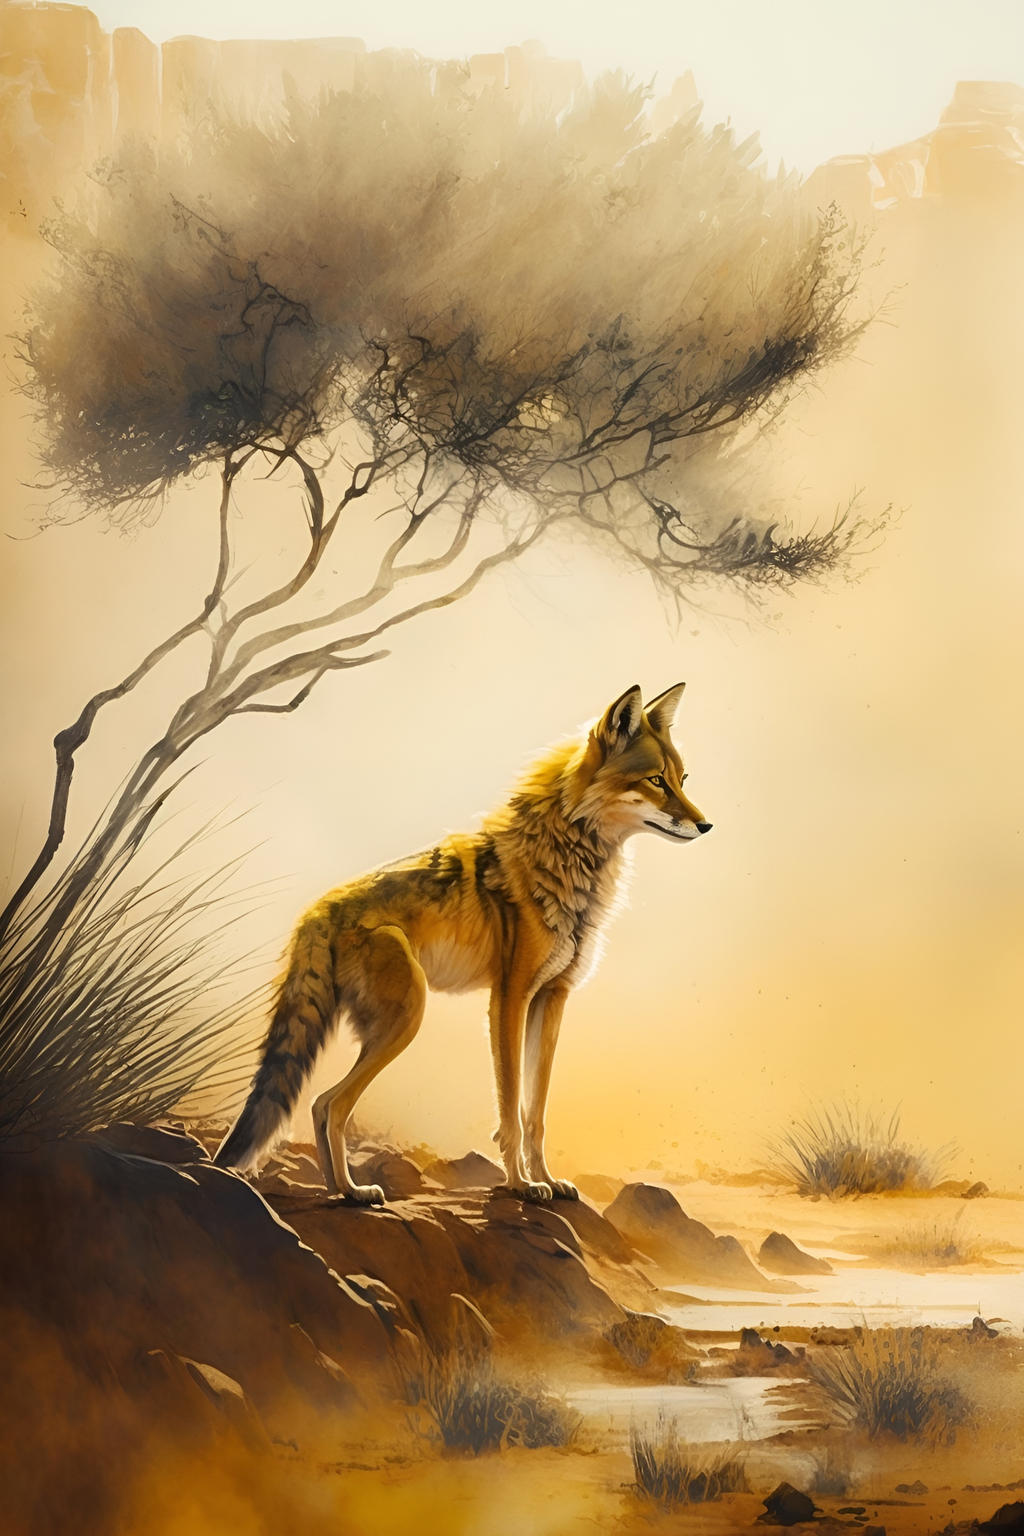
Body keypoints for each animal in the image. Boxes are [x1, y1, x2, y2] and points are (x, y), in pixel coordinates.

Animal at [215, 683, 711, 1204]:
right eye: (656, 781)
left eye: (682, 779)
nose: (706, 825)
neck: (567, 863)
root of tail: (316, 912)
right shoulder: (509, 999)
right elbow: (510, 1108)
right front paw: (520, 1184)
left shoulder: (552, 1000)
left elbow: (535, 1114)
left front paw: (546, 1179)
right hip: (406, 1020)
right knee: (330, 1104)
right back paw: (353, 1191)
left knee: (319, 1104)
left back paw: (340, 1191)